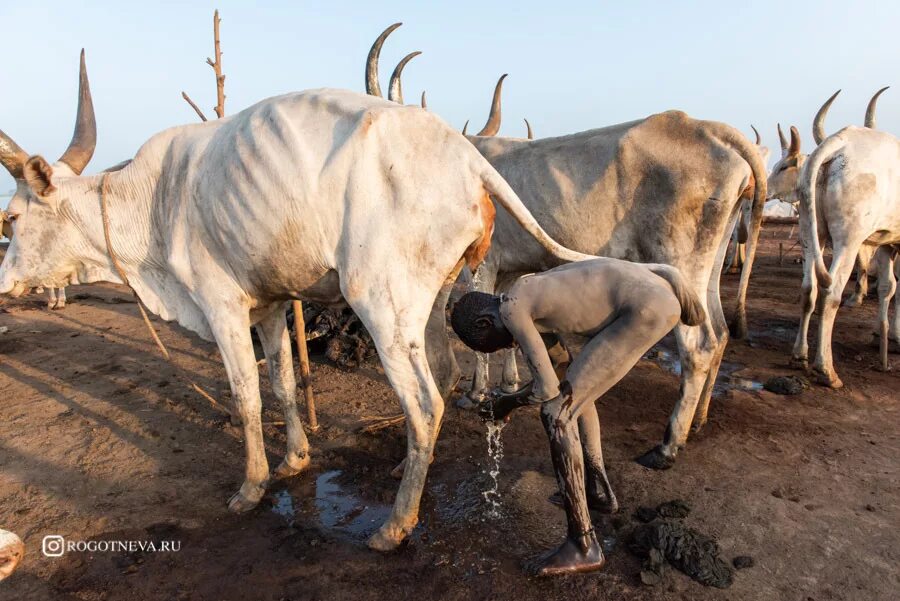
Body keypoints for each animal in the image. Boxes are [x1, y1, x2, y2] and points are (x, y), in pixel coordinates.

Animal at [1, 70, 596, 548]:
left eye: (12, 217)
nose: (6, 281)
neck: (153, 200)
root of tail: (467, 155)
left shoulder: (221, 305)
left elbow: (245, 395)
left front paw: (251, 486)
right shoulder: (268, 305)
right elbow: (283, 383)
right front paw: (294, 459)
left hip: (381, 299)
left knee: (425, 401)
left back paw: (395, 525)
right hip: (431, 298)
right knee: (445, 375)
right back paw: (404, 466)